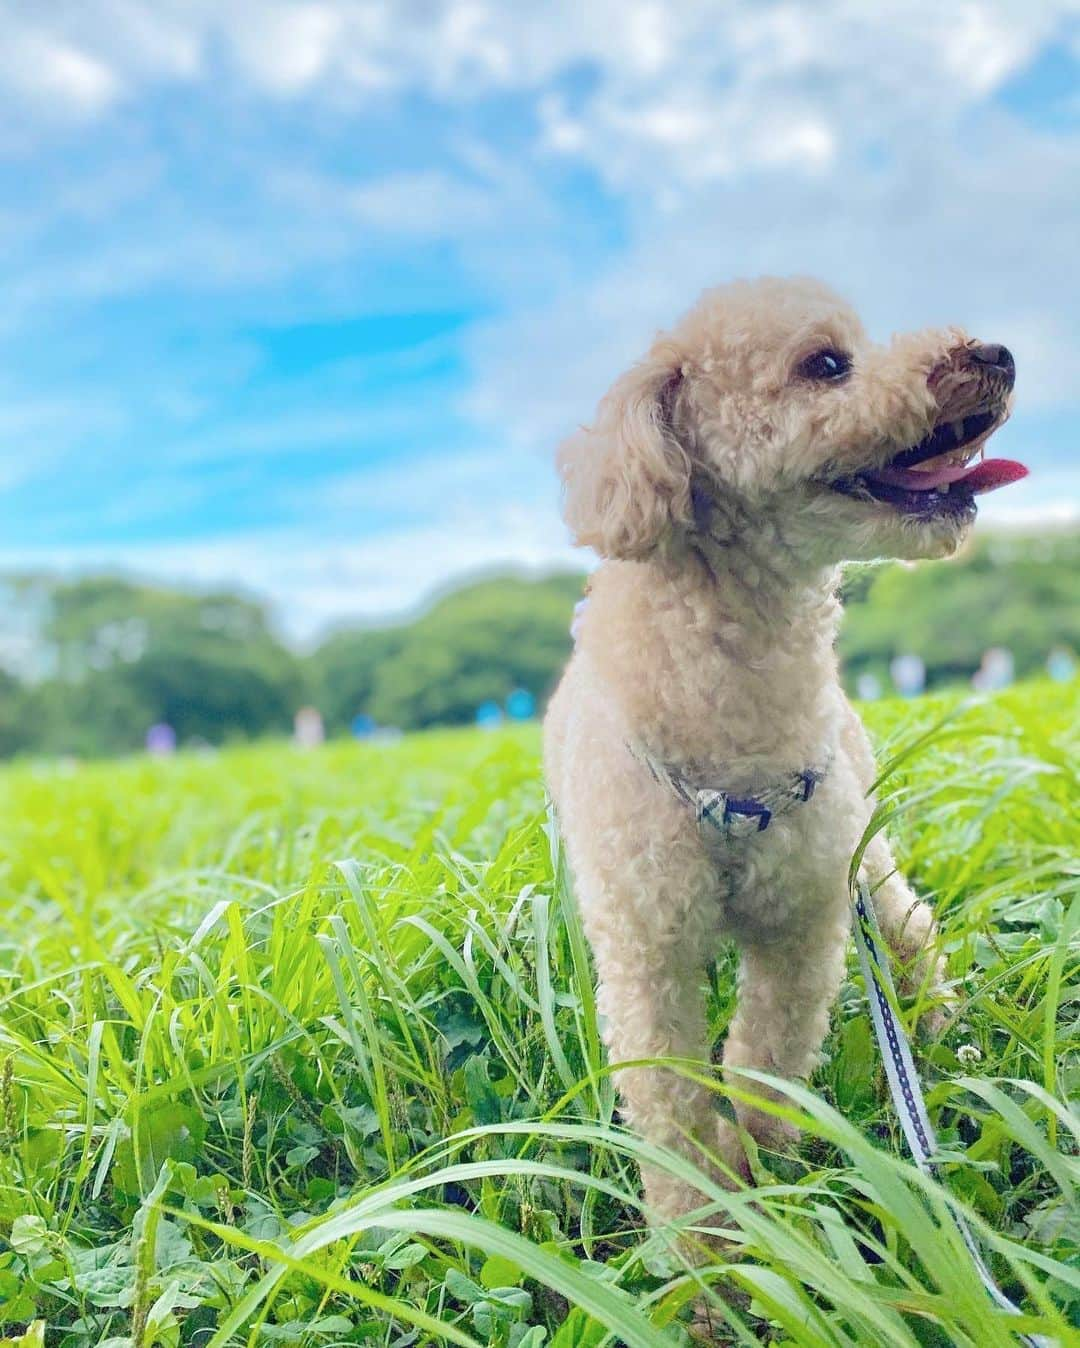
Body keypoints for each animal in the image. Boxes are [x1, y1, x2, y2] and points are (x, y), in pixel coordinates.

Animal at [544, 279, 1024, 1234]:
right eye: (826, 363)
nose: (996, 353)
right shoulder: (646, 949)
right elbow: (671, 1105)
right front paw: (704, 1243)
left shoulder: (804, 921)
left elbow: (763, 1066)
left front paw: (764, 1182)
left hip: (865, 856)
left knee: (910, 927)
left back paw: (943, 1027)